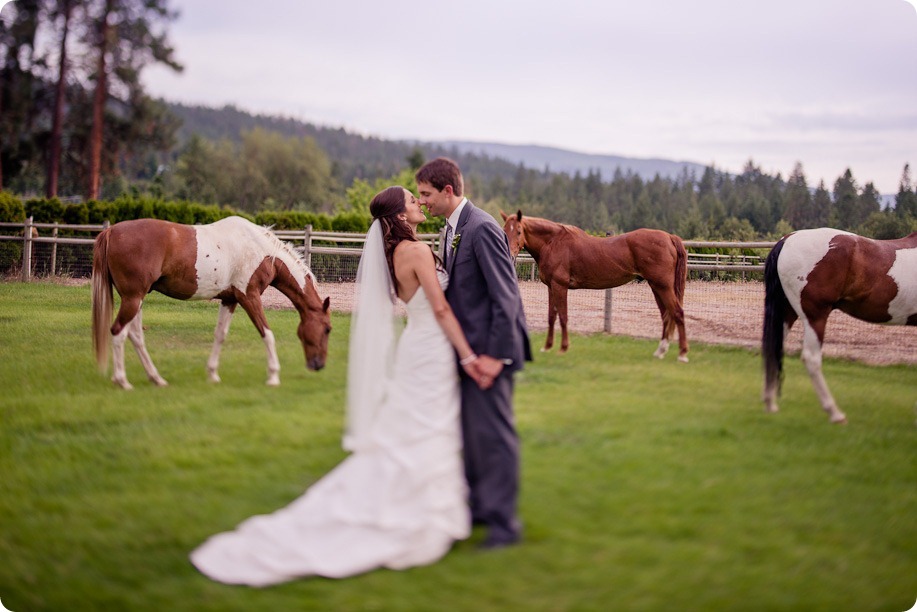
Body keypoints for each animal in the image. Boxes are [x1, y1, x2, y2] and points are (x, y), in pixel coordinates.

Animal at [89, 215, 330, 388]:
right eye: (328, 329)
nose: (318, 366)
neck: (263, 251)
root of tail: (111, 231)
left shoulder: (230, 300)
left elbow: (220, 335)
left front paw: (213, 374)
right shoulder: (249, 297)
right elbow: (267, 334)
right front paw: (273, 376)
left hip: (136, 300)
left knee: (136, 336)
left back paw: (156, 378)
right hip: (133, 299)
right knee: (118, 332)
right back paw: (122, 381)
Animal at [500, 210, 688, 358]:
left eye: (518, 231)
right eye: (504, 230)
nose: (510, 255)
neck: (553, 243)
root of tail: (669, 237)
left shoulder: (560, 286)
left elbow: (563, 316)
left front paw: (563, 348)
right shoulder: (550, 287)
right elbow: (551, 317)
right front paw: (547, 347)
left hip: (663, 286)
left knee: (677, 312)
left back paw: (682, 354)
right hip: (656, 286)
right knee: (666, 315)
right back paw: (660, 351)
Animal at [760, 227, 916, 424]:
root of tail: (787, 239)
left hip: (786, 314)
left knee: (773, 349)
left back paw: (770, 403)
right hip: (815, 317)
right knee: (811, 358)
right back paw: (835, 413)